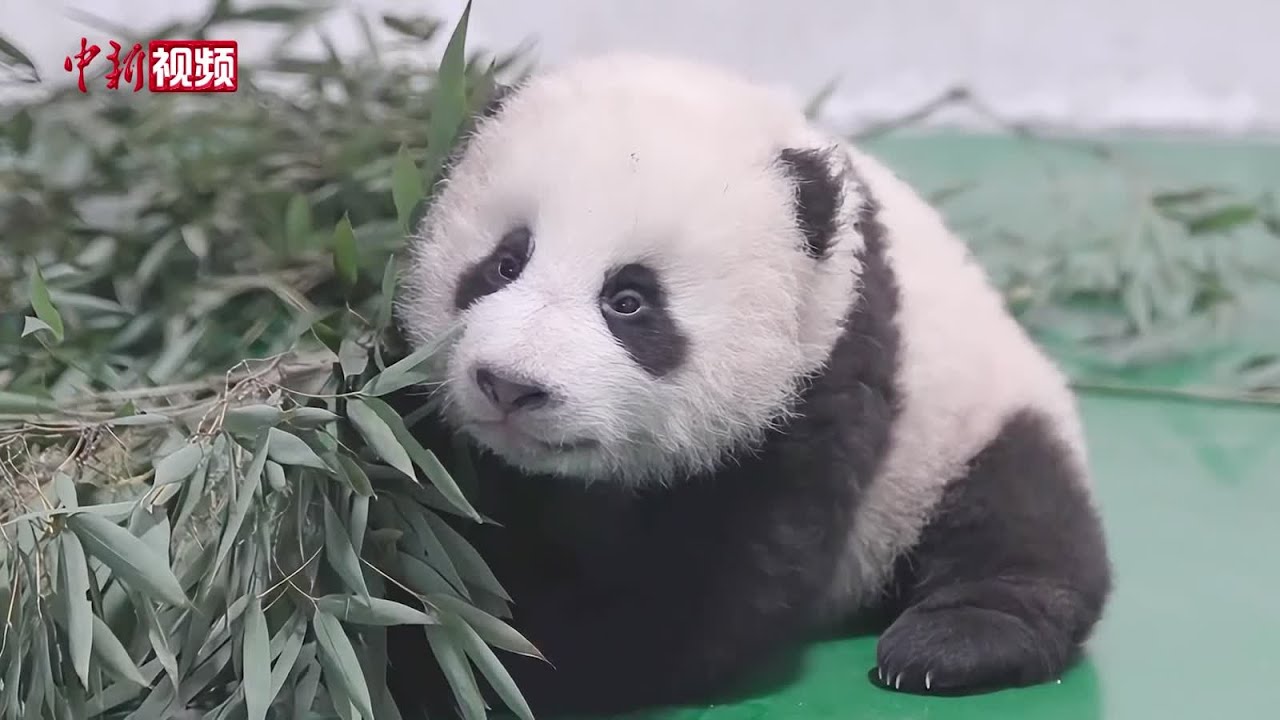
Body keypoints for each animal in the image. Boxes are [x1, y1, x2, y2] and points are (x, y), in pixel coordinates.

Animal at [385, 52, 1112, 718]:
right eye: (503, 264)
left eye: (629, 302)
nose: (510, 386)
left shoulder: (824, 372)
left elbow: (708, 587)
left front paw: (502, 661)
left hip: (965, 428)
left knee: (1019, 514)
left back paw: (952, 642)